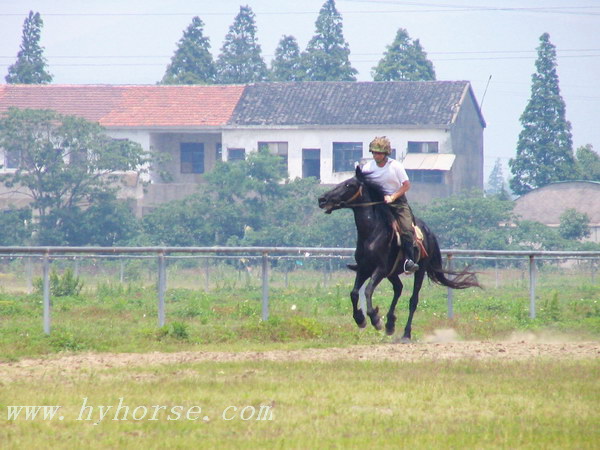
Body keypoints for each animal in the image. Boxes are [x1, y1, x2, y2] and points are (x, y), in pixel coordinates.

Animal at [316, 165, 480, 342]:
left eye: (348, 185)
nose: (322, 199)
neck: (373, 233)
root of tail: (428, 231)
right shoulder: (364, 269)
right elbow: (354, 293)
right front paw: (360, 319)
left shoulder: (379, 269)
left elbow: (367, 290)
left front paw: (375, 319)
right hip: (392, 272)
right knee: (399, 288)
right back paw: (390, 324)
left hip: (419, 269)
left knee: (413, 300)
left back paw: (405, 334)